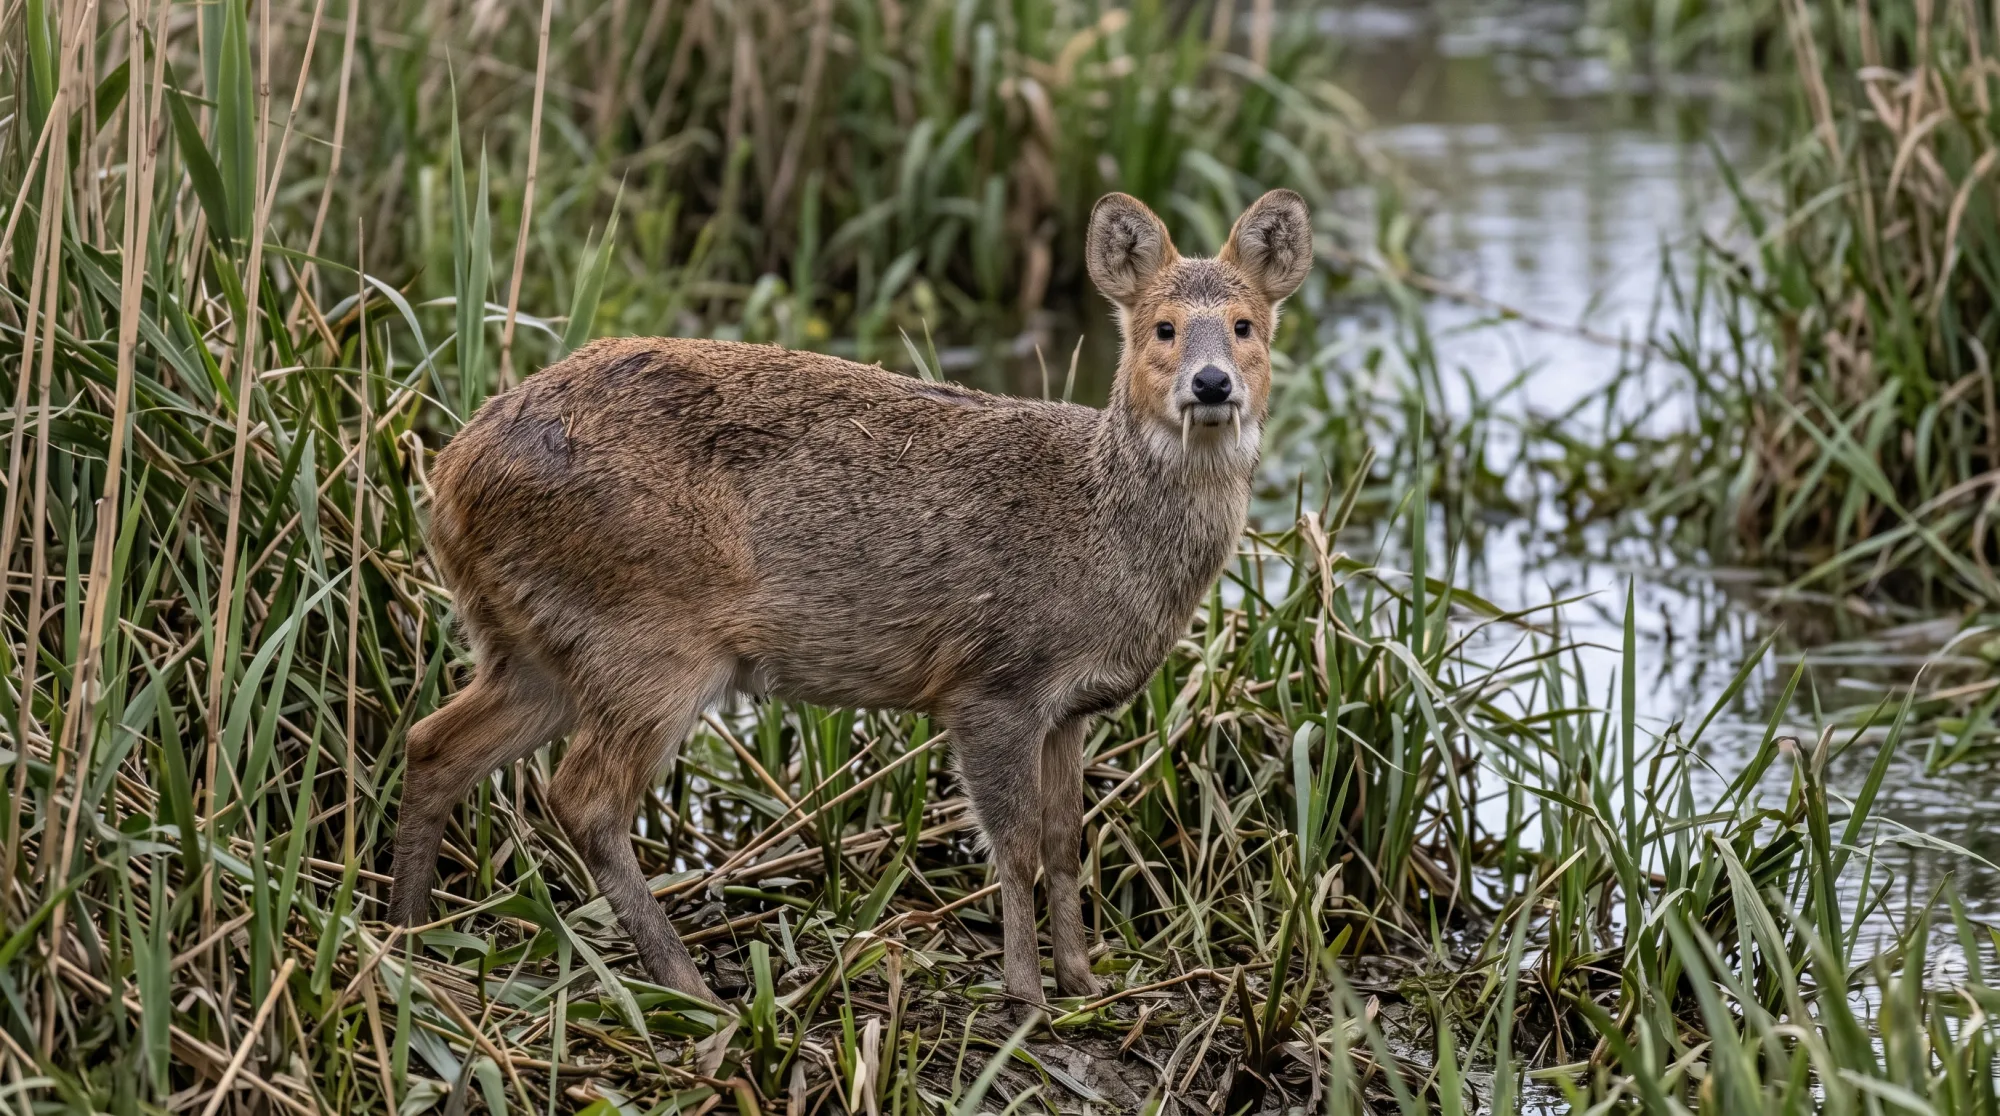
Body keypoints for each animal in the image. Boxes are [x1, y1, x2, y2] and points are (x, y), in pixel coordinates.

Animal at [387, 189, 1313, 1008]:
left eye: (1246, 326)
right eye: (1162, 326)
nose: (1211, 383)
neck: (1102, 524)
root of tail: (451, 475)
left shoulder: (1071, 707)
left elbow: (1063, 843)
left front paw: (1085, 982)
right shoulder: (995, 682)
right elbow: (1012, 846)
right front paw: (1025, 995)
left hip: (538, 644)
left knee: (434, 743)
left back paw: (407, 933)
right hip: (644, 636)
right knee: (582, 797)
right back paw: (688, 987)